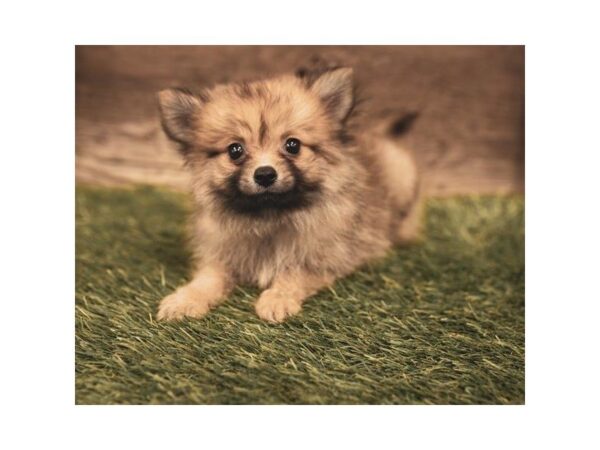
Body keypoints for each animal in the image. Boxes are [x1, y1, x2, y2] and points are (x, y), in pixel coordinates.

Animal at [157, 67, 420, 324]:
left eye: (293, 145)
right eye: (235, 150)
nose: (265, 174)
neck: (269, 216)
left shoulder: (324, 259)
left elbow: (292, 274)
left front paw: (277, 299)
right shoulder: (220, 256)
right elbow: (207, 280)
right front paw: (184, 300)